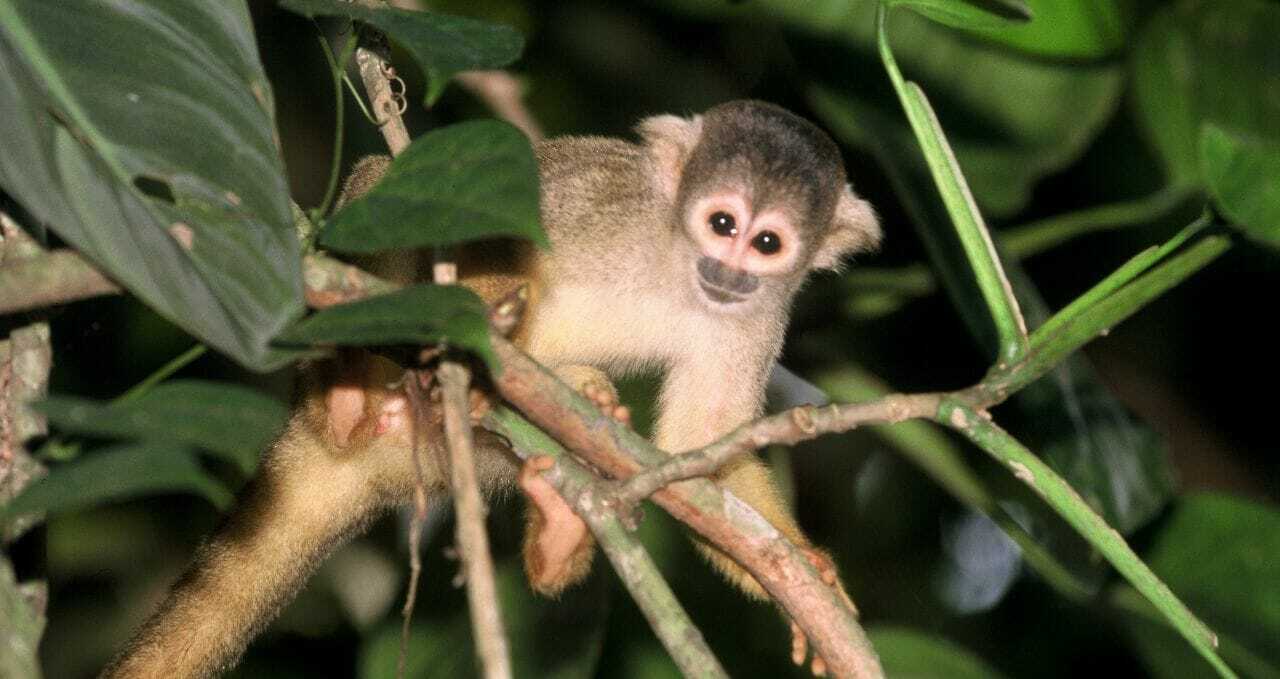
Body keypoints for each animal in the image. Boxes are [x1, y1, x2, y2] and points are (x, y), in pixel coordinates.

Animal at [102, 100, 880, 676]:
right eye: (722, 223)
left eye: (767, 244)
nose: (731, 270)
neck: (678, 264)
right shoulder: (610, 193)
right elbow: (481, 218)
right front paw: (479, 338)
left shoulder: (761, 315)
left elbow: (701, 450)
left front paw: (803, 576)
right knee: (385, 188)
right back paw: (346, 389)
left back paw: (561, 523)